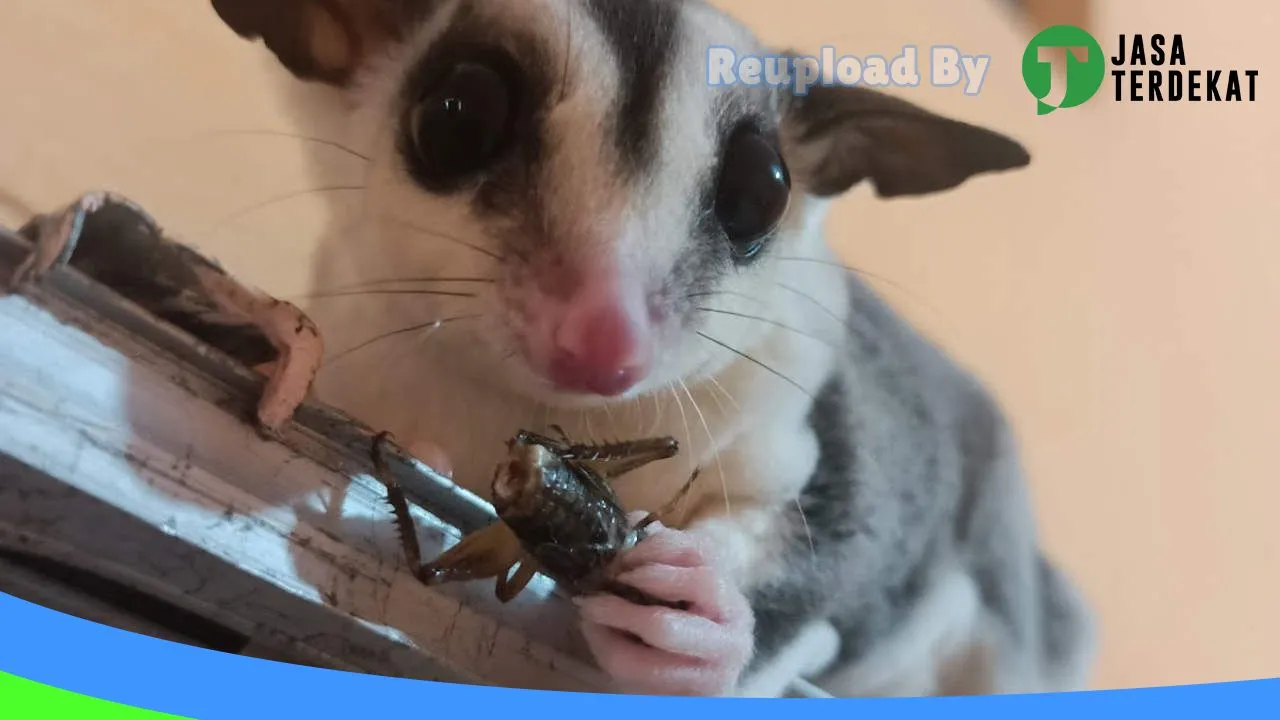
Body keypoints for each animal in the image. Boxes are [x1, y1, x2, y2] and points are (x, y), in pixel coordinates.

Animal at [209, 0, 1096, 698]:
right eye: (454, 119)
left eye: (761, 190)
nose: (604, 342)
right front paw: (423, 451)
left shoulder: (801, 409)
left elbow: (843, 551)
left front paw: (707, 616)